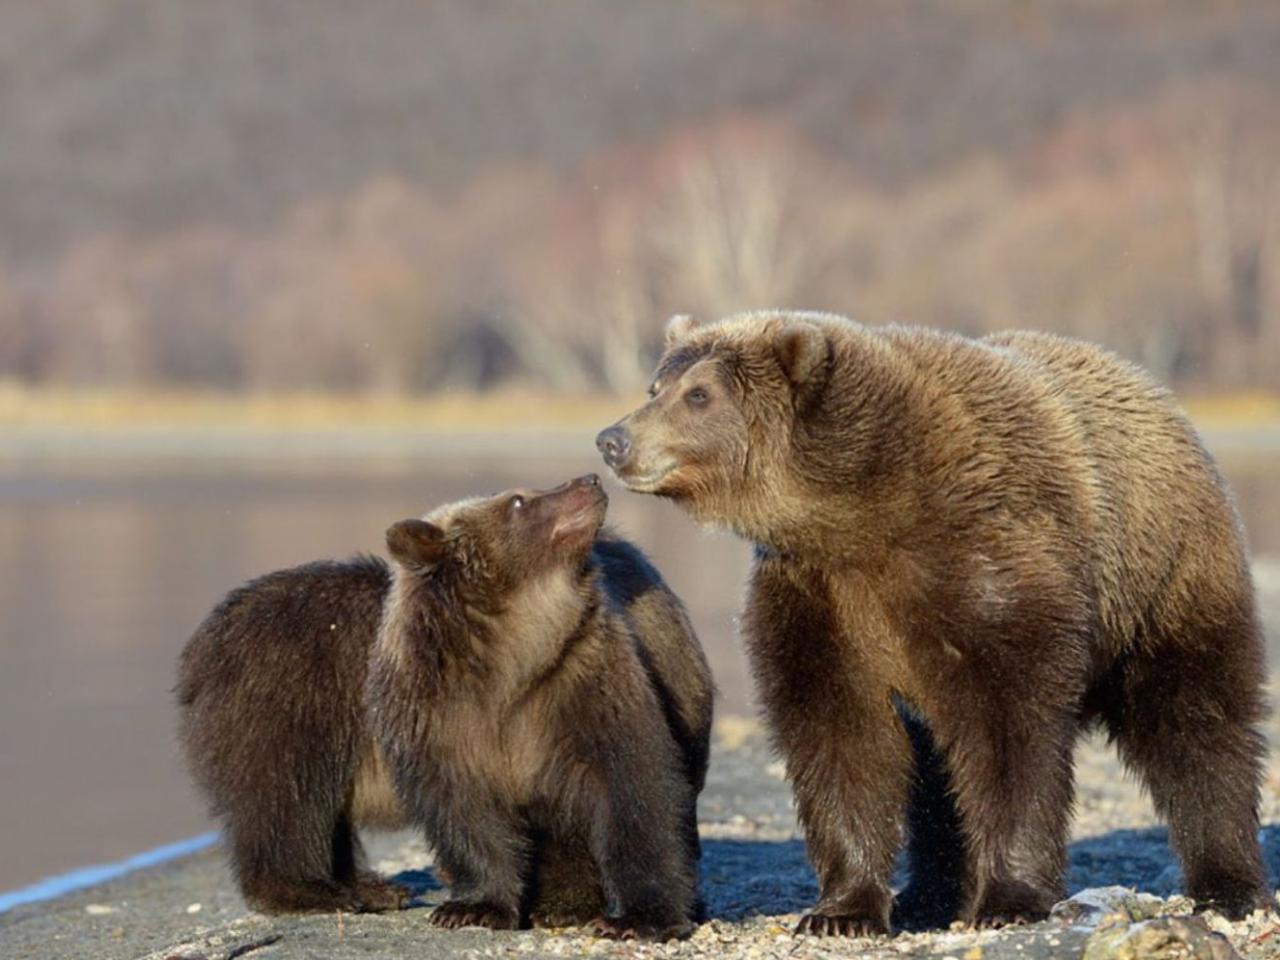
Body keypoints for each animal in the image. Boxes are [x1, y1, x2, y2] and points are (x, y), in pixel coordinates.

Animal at [366, 473, 716, 942]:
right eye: (518, 501)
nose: (588, 479)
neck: (510, 657)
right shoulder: (440, 715)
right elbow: (466, 814)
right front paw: (473, 907)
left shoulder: (578, 687)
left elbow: (634, 788)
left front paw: (638, 918)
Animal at [596, 316, 1269, 942]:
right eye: (658, 385)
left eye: (699, 394)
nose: (612, 438)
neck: (867, 507)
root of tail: (1154, 391)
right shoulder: (822, 597)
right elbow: (839, 735)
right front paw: (842, 910)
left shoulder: (986, 565)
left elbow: (1010, 736)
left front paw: (1008, 899)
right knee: (935, 773)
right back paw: (929, 892)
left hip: (1162, 581)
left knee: (1195, 722)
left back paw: (1229, 883)